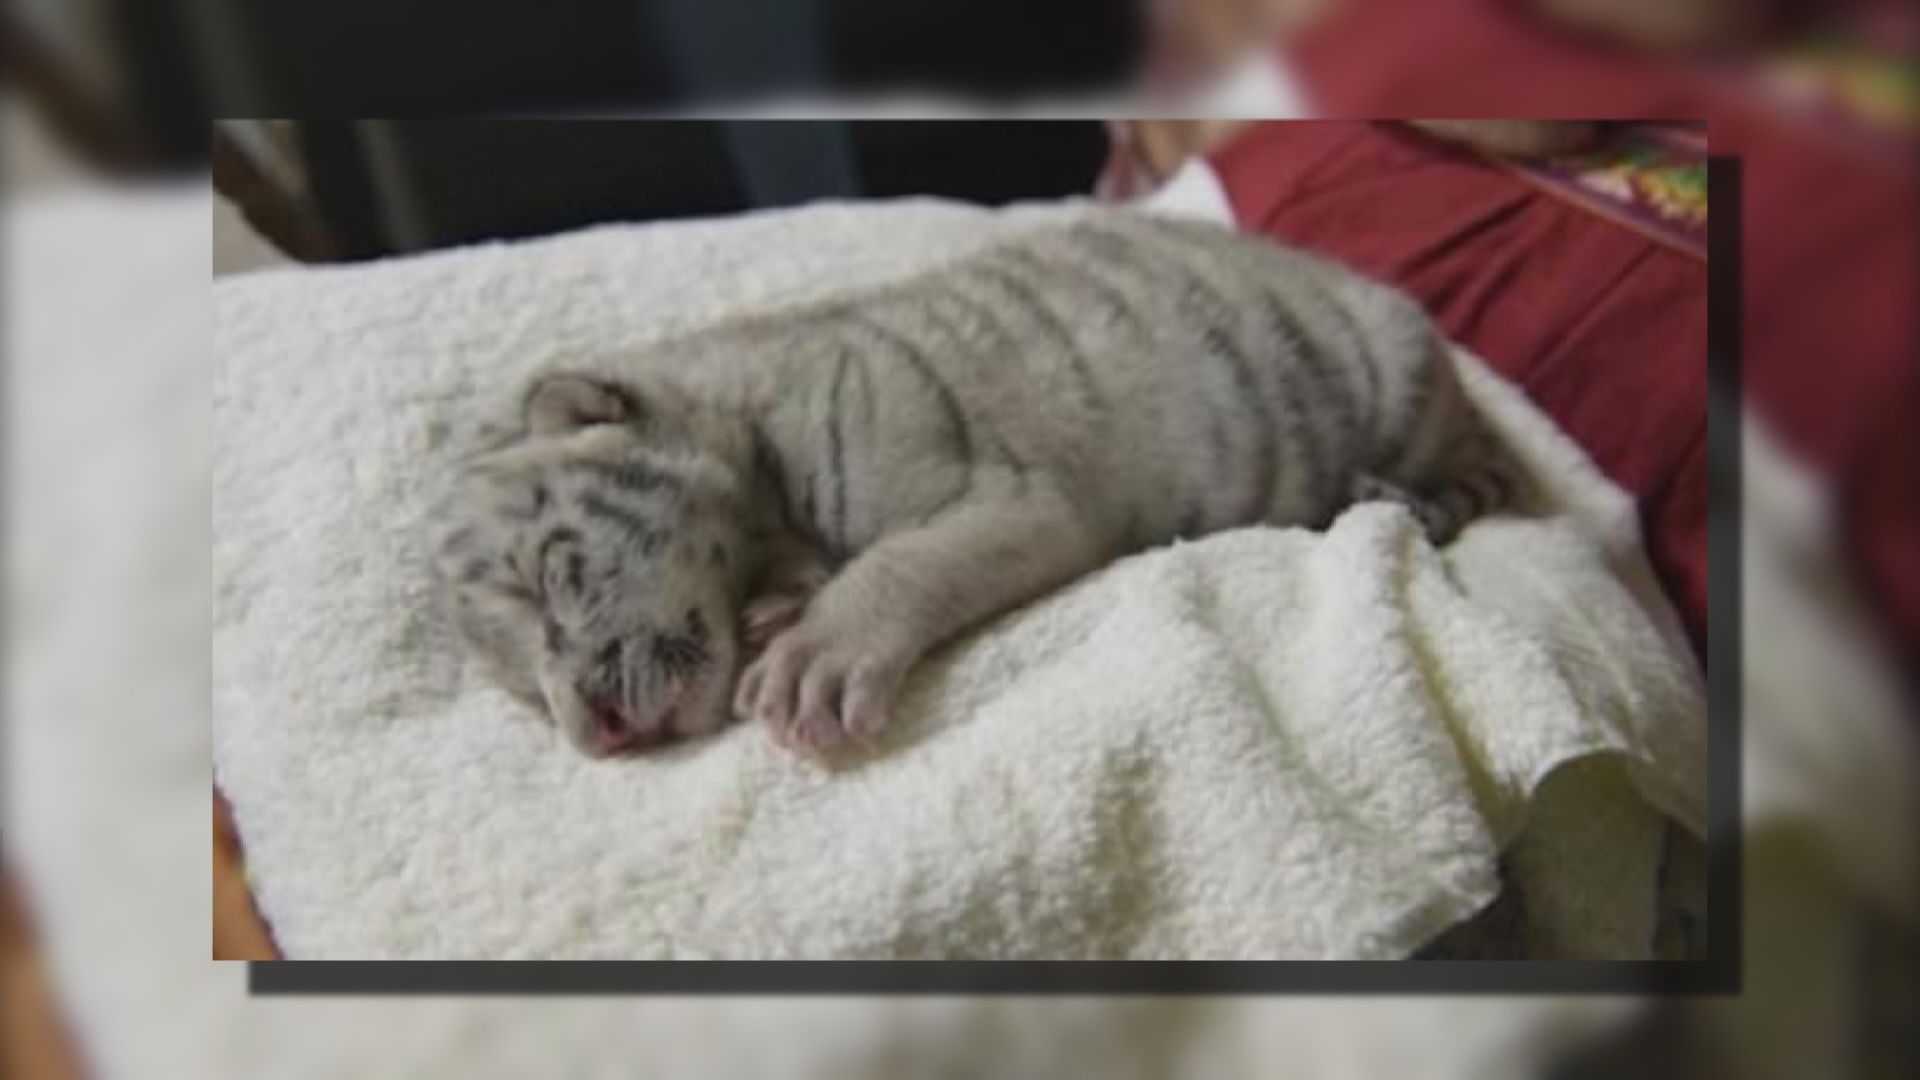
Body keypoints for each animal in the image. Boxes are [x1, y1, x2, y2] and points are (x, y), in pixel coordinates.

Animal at [427, 210, 1523, 760]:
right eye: (521, 693)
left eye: (543, 583)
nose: (596, 739)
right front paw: (776, 609)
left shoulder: (1014, 501)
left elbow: (901, 564)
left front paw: (813, 657)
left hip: (1399, 378)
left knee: (1472, 473)